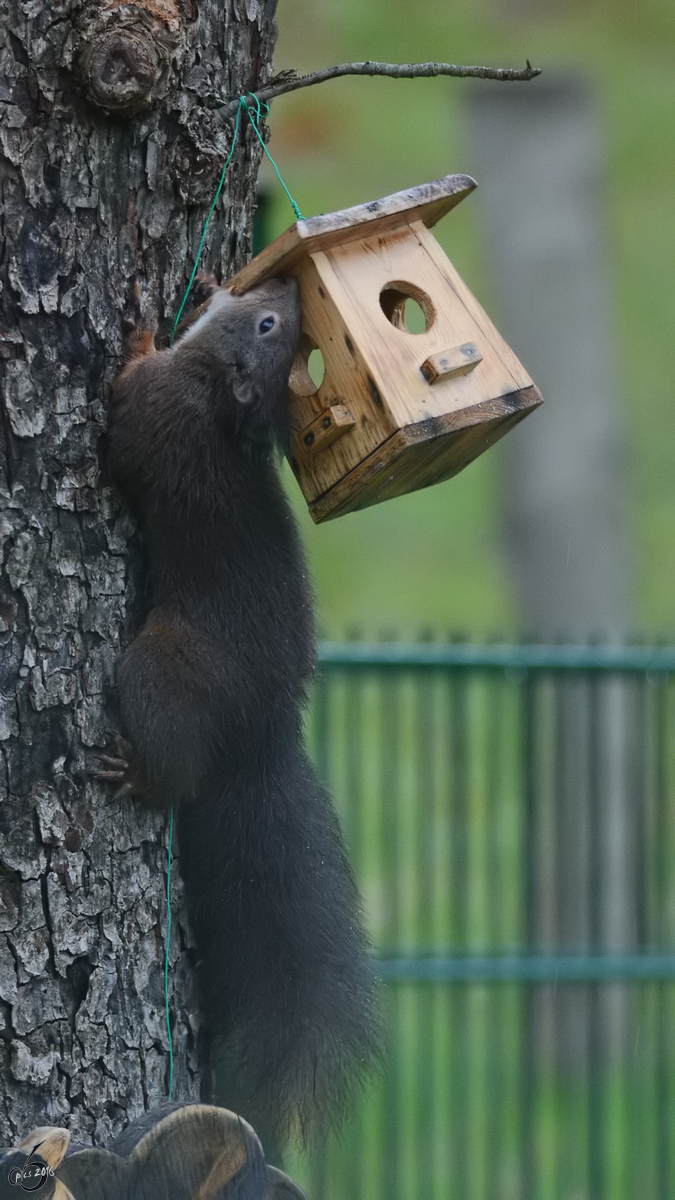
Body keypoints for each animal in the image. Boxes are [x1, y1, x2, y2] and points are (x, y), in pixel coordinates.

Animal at [102, 276, 381, 1156]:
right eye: (274, 329)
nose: (285, 283)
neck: (210, 395)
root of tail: (263, 735)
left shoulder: (147, 408)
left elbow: (122, 411)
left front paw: (138, 335)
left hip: (157, 667)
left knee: (175, 771)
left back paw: (137, 772)